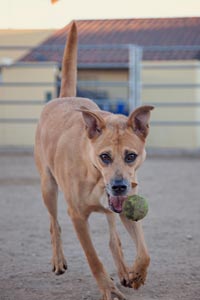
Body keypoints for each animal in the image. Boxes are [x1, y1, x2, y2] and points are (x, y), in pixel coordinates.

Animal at [34, 21, 153, 300]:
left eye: (131, 156)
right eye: (104, 157)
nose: (119, 186)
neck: (96, 174)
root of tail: (63, 97)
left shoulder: (126, 207)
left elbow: (144, 252)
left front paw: (137, 275)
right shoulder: (77, 216)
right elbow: (93, 259)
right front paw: (108, 289)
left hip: (110, 209)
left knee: (113, 239)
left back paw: (124, 271)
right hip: (48, 188)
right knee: (54, 224)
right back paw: (58, 260)